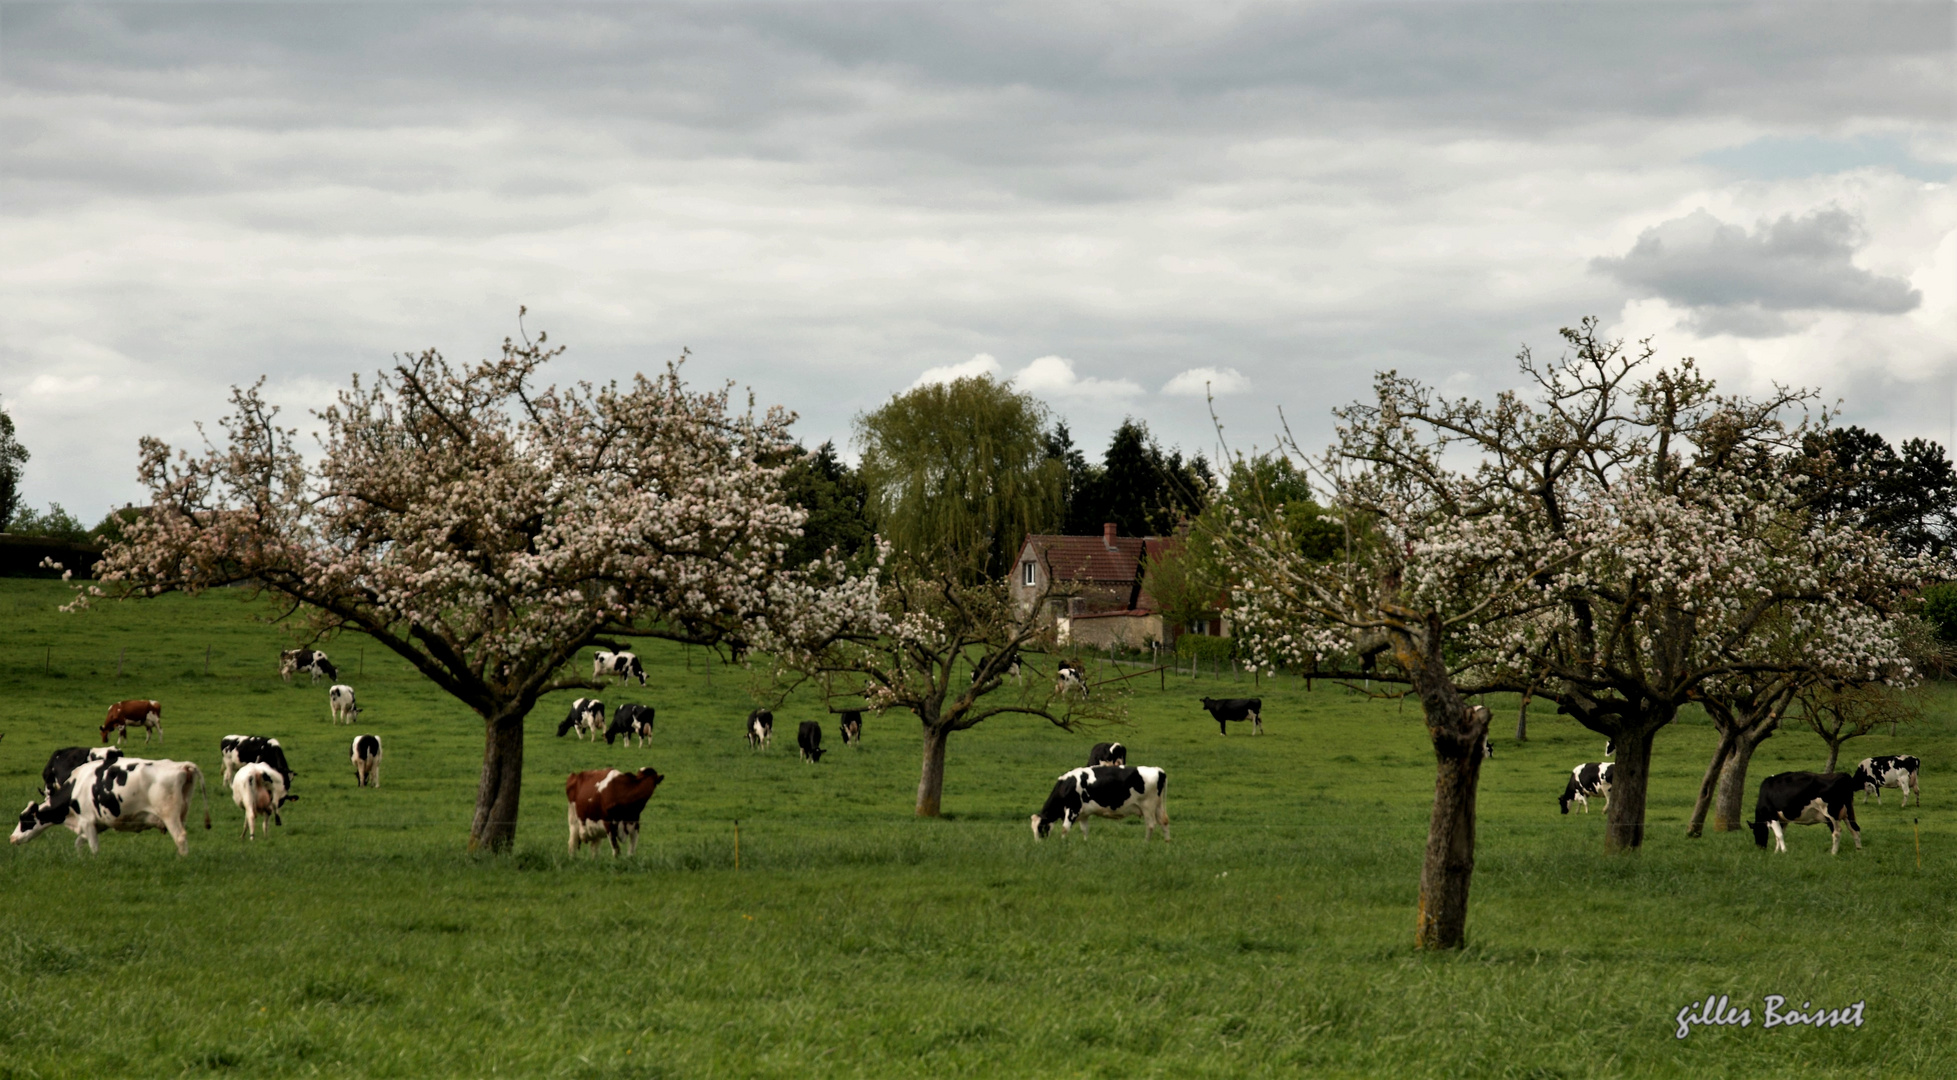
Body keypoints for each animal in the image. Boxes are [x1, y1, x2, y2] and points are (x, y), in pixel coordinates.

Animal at [9, 755, 210, 856]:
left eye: (24, 820)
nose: (12, 838)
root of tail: (181, 766)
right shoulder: (97, 824)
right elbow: (79, 842)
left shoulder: (87, 821)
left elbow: (93, 847)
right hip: (182, 813)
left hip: (169, 815)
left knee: (180, 837)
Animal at [1033, 759, 1166, 845]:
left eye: (1040, 827)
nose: (1038, 844)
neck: (1068, 785)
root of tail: (1158, 770)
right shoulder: (1083, 814)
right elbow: (1085, 830)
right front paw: (1086, 842)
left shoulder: (1073, 809)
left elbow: (1065, 828)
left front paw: (1062, 843)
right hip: (1158, 806)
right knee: (1164, 822)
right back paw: (1167, 843)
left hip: (1148, 806)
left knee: (1151, 825)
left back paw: (1146, 843)